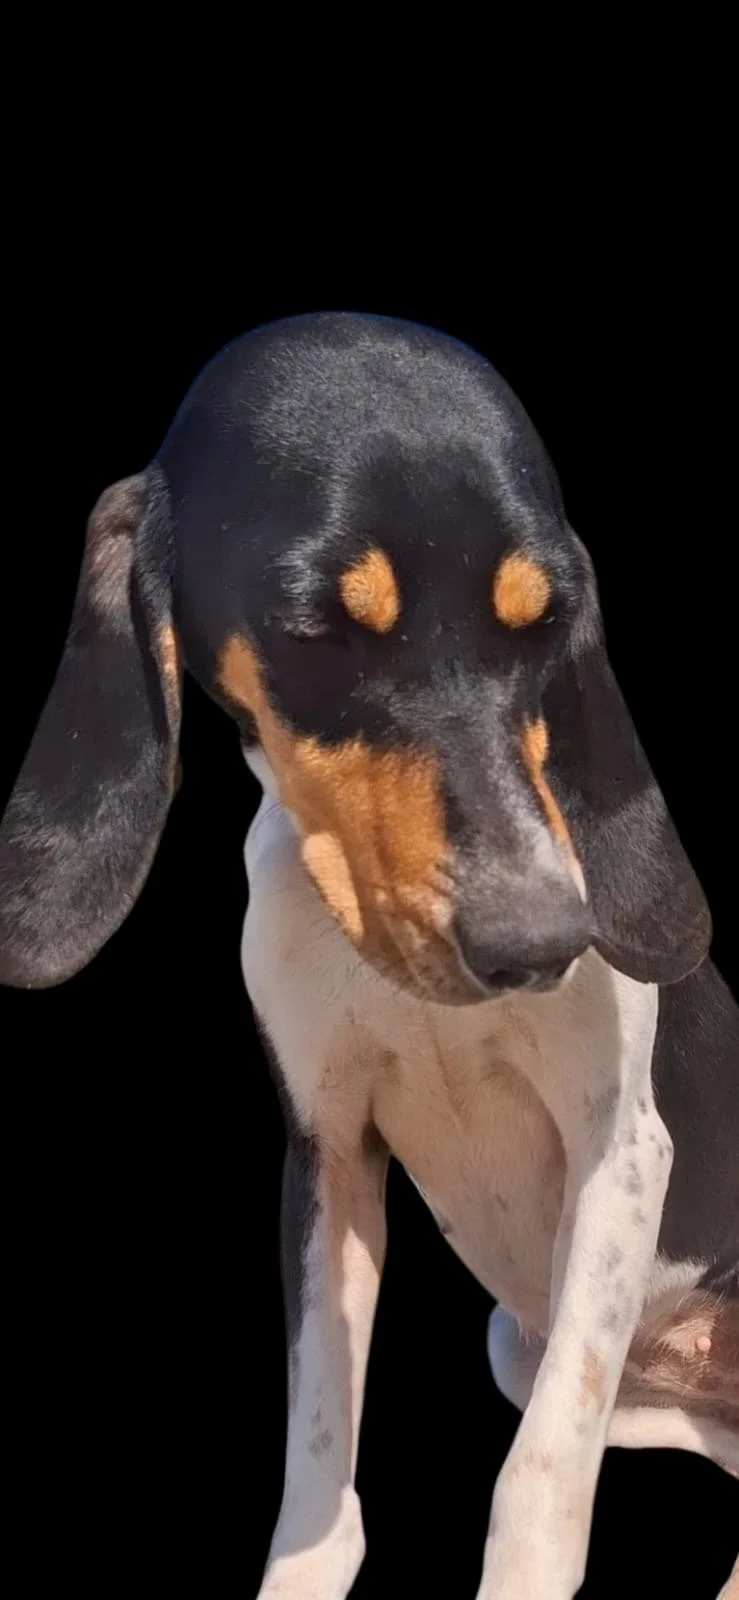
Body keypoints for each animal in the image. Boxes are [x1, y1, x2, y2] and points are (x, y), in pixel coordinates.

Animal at [1, 312, 737, 1600]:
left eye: (544, 624)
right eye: (317, 631)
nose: (543, 937)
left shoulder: (626, 1147)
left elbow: (538, 1480)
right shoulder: (329, 1150)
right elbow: (319, 1486)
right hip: (526, 1347)